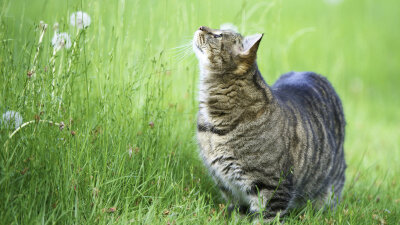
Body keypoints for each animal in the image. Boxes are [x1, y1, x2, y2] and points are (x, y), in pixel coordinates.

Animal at [192, 25, 346, 221]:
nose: (201, 27)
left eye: (218, 35)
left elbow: (265, 218)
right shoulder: (228, 187)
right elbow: (238, 213)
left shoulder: (273, 187)